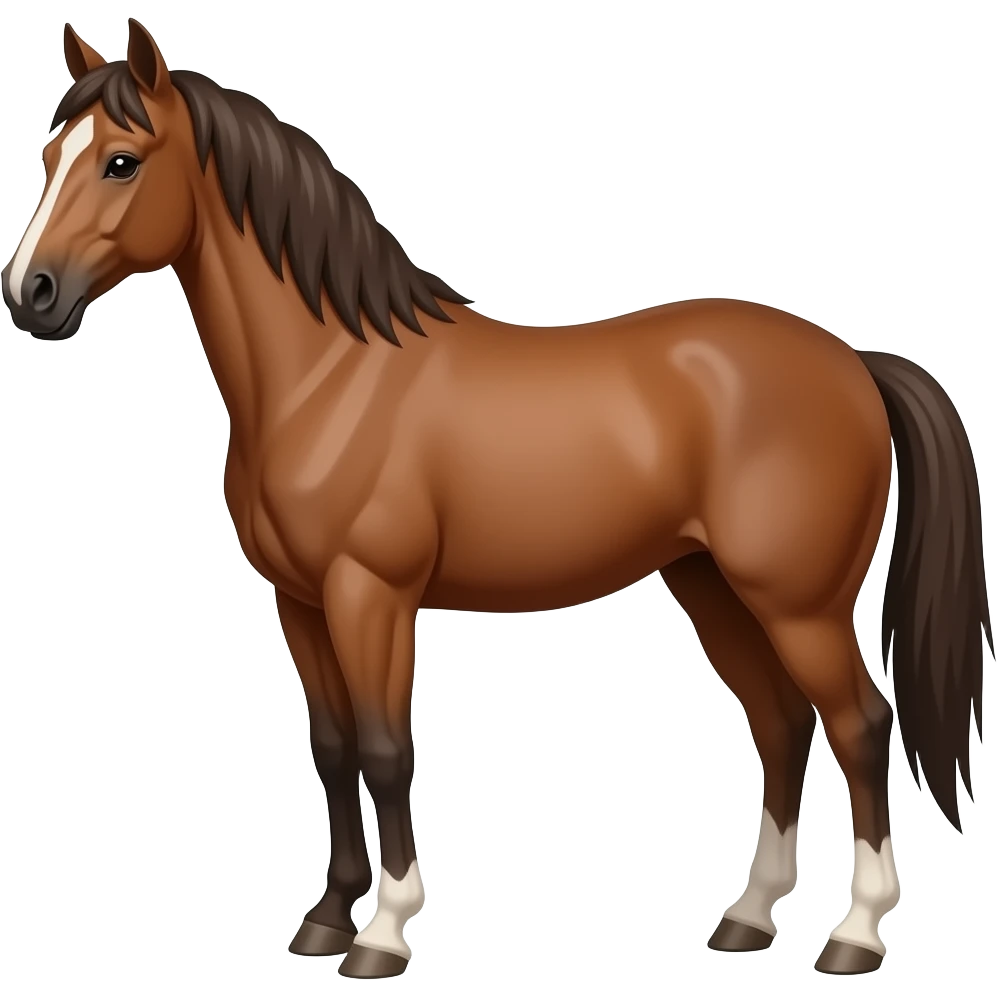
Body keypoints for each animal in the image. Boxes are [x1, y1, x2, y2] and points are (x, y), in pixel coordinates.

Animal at [2, 18, 991, 979]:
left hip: (798, 603)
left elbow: (384, 748)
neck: (329, 376)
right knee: (781, 724)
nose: (30, 294)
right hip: (710, 585)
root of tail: (853, 362)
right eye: (50, 155)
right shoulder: (300, 601)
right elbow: (331, 746)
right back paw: (748, 917)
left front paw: (383, 932)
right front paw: (324, 918)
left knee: (859, 725)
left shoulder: (371, 595)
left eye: (121, 161)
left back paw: (856, 933)